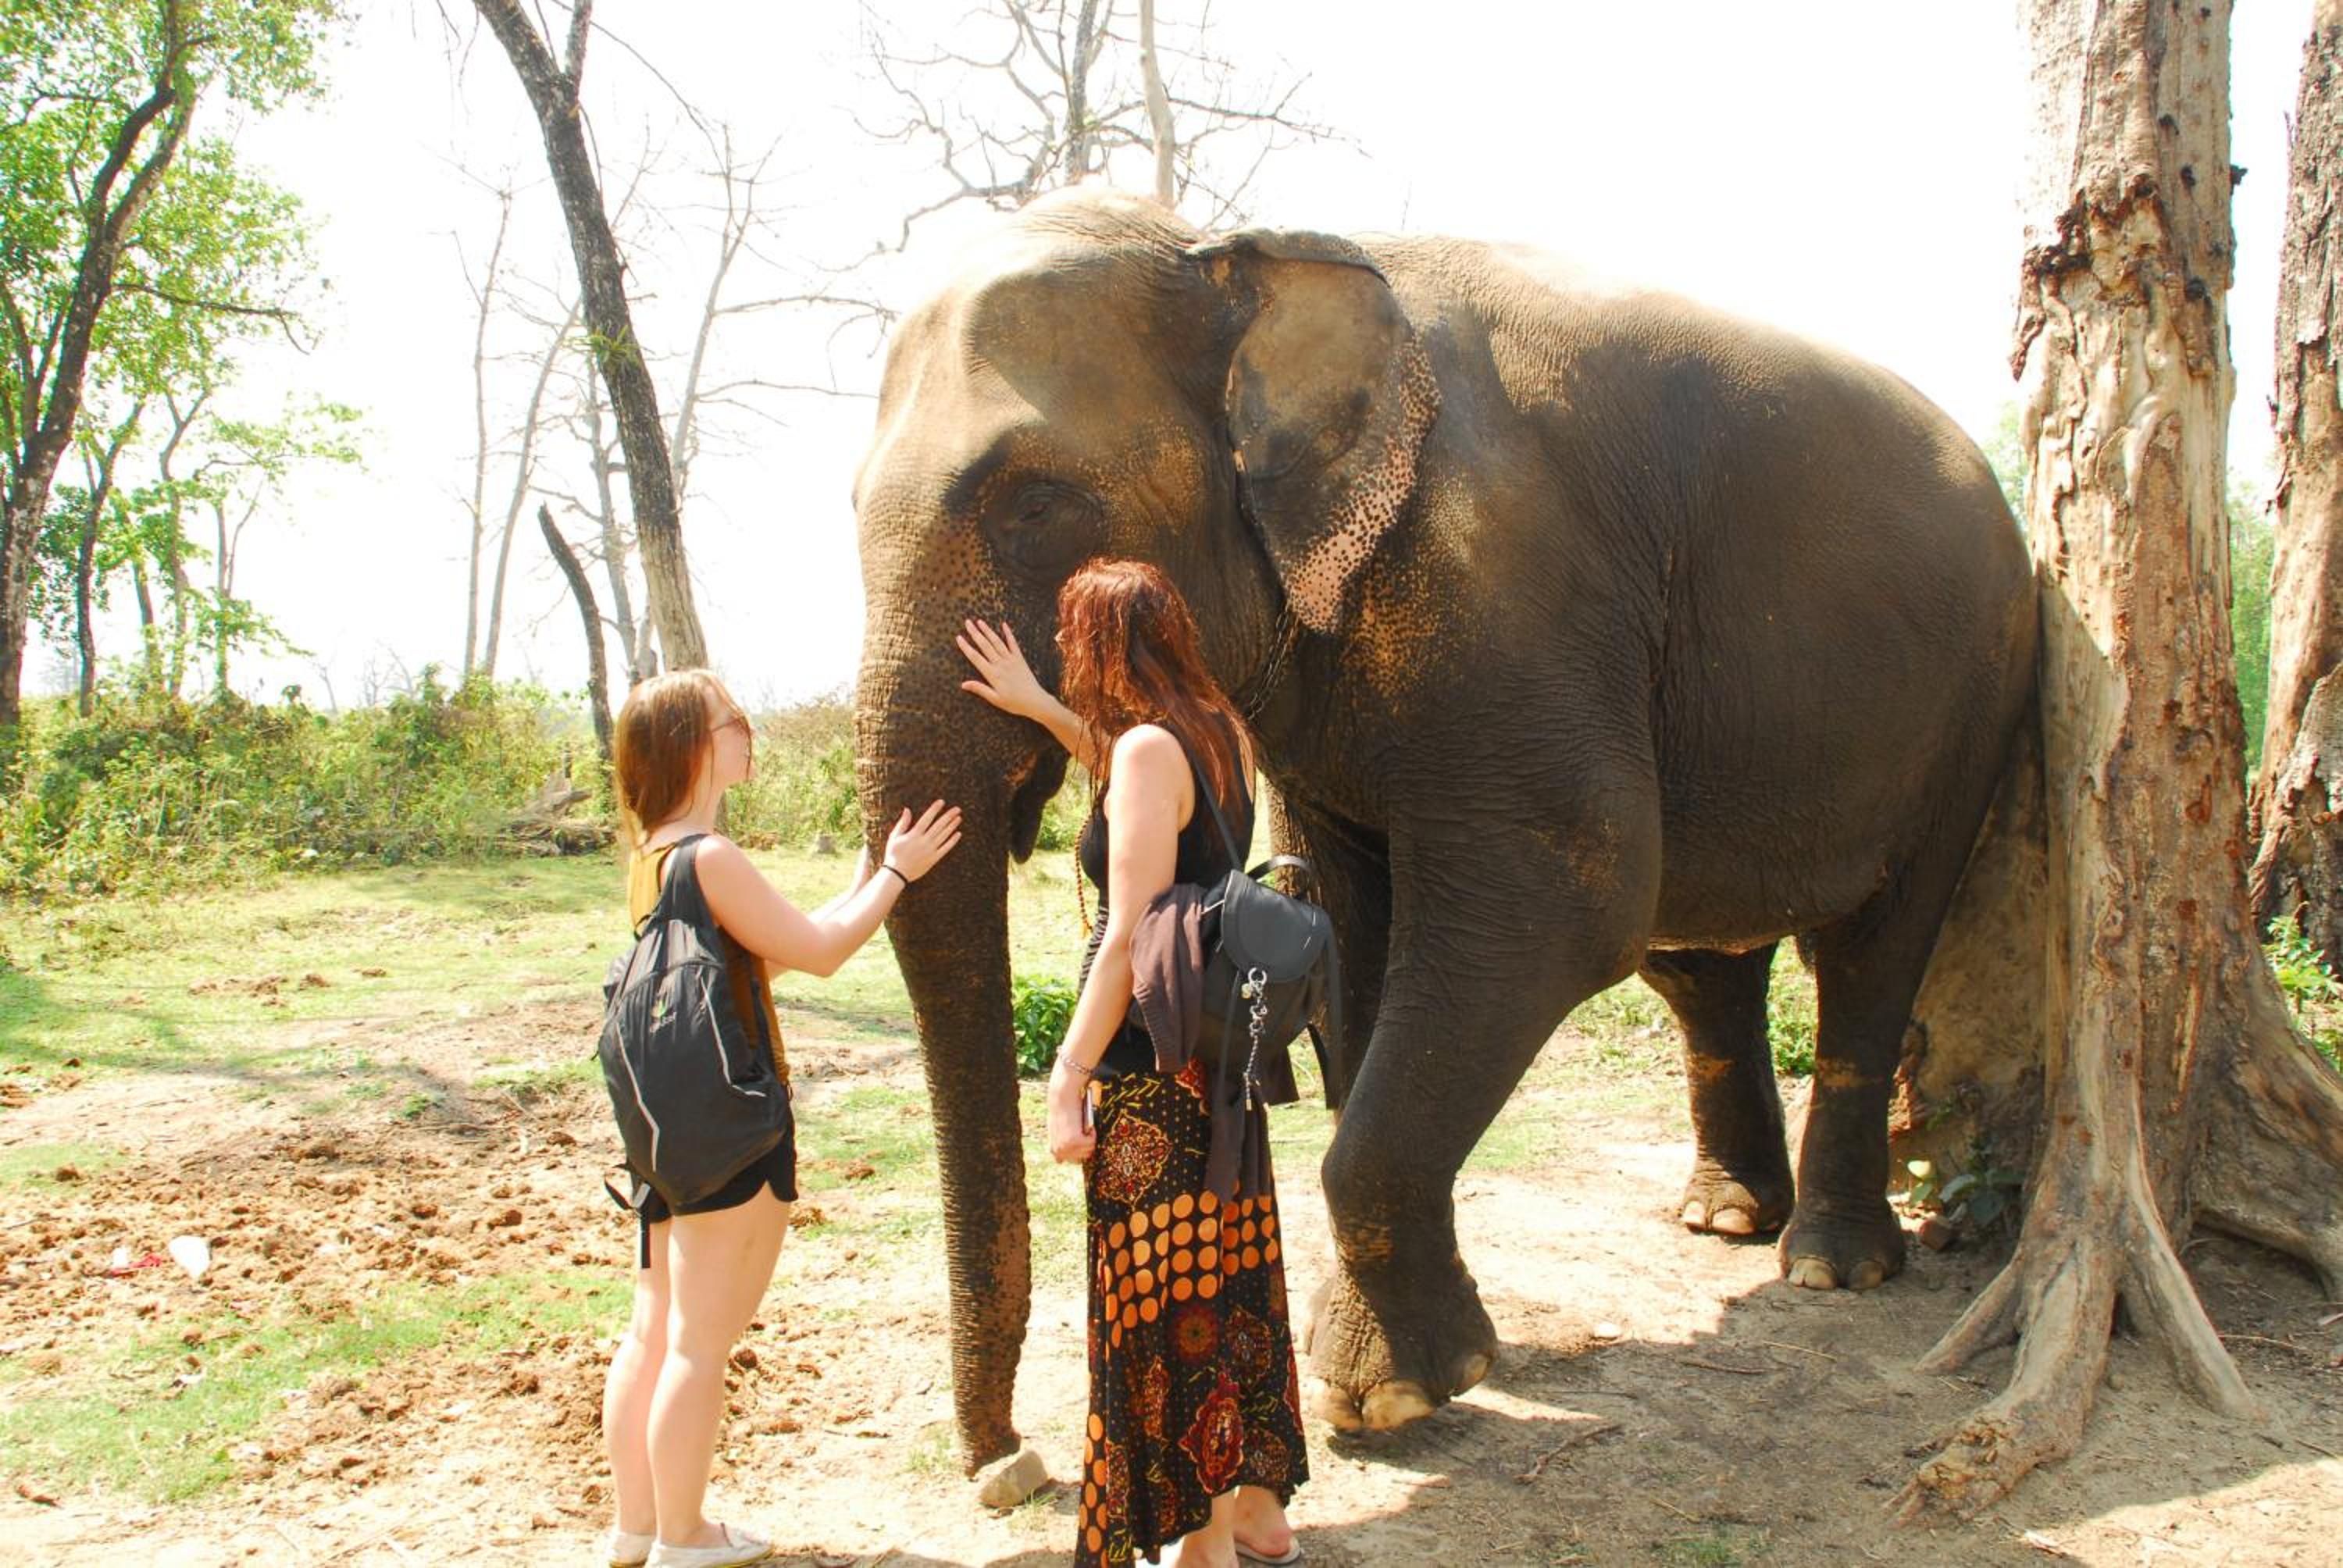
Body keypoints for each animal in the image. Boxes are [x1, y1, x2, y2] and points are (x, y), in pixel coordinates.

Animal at [850, 186, 2035, 1479]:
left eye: (1033, 501)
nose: (1010, 1467)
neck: (1239, 250)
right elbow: (1354, 923)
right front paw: (1402, 1375)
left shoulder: (1512, 581)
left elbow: (1569, 897)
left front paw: (1389, 1395)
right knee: (1703, 965)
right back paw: (1723, 1217)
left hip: (1978, 694)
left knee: (1875, 949)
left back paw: (1828, 1267)